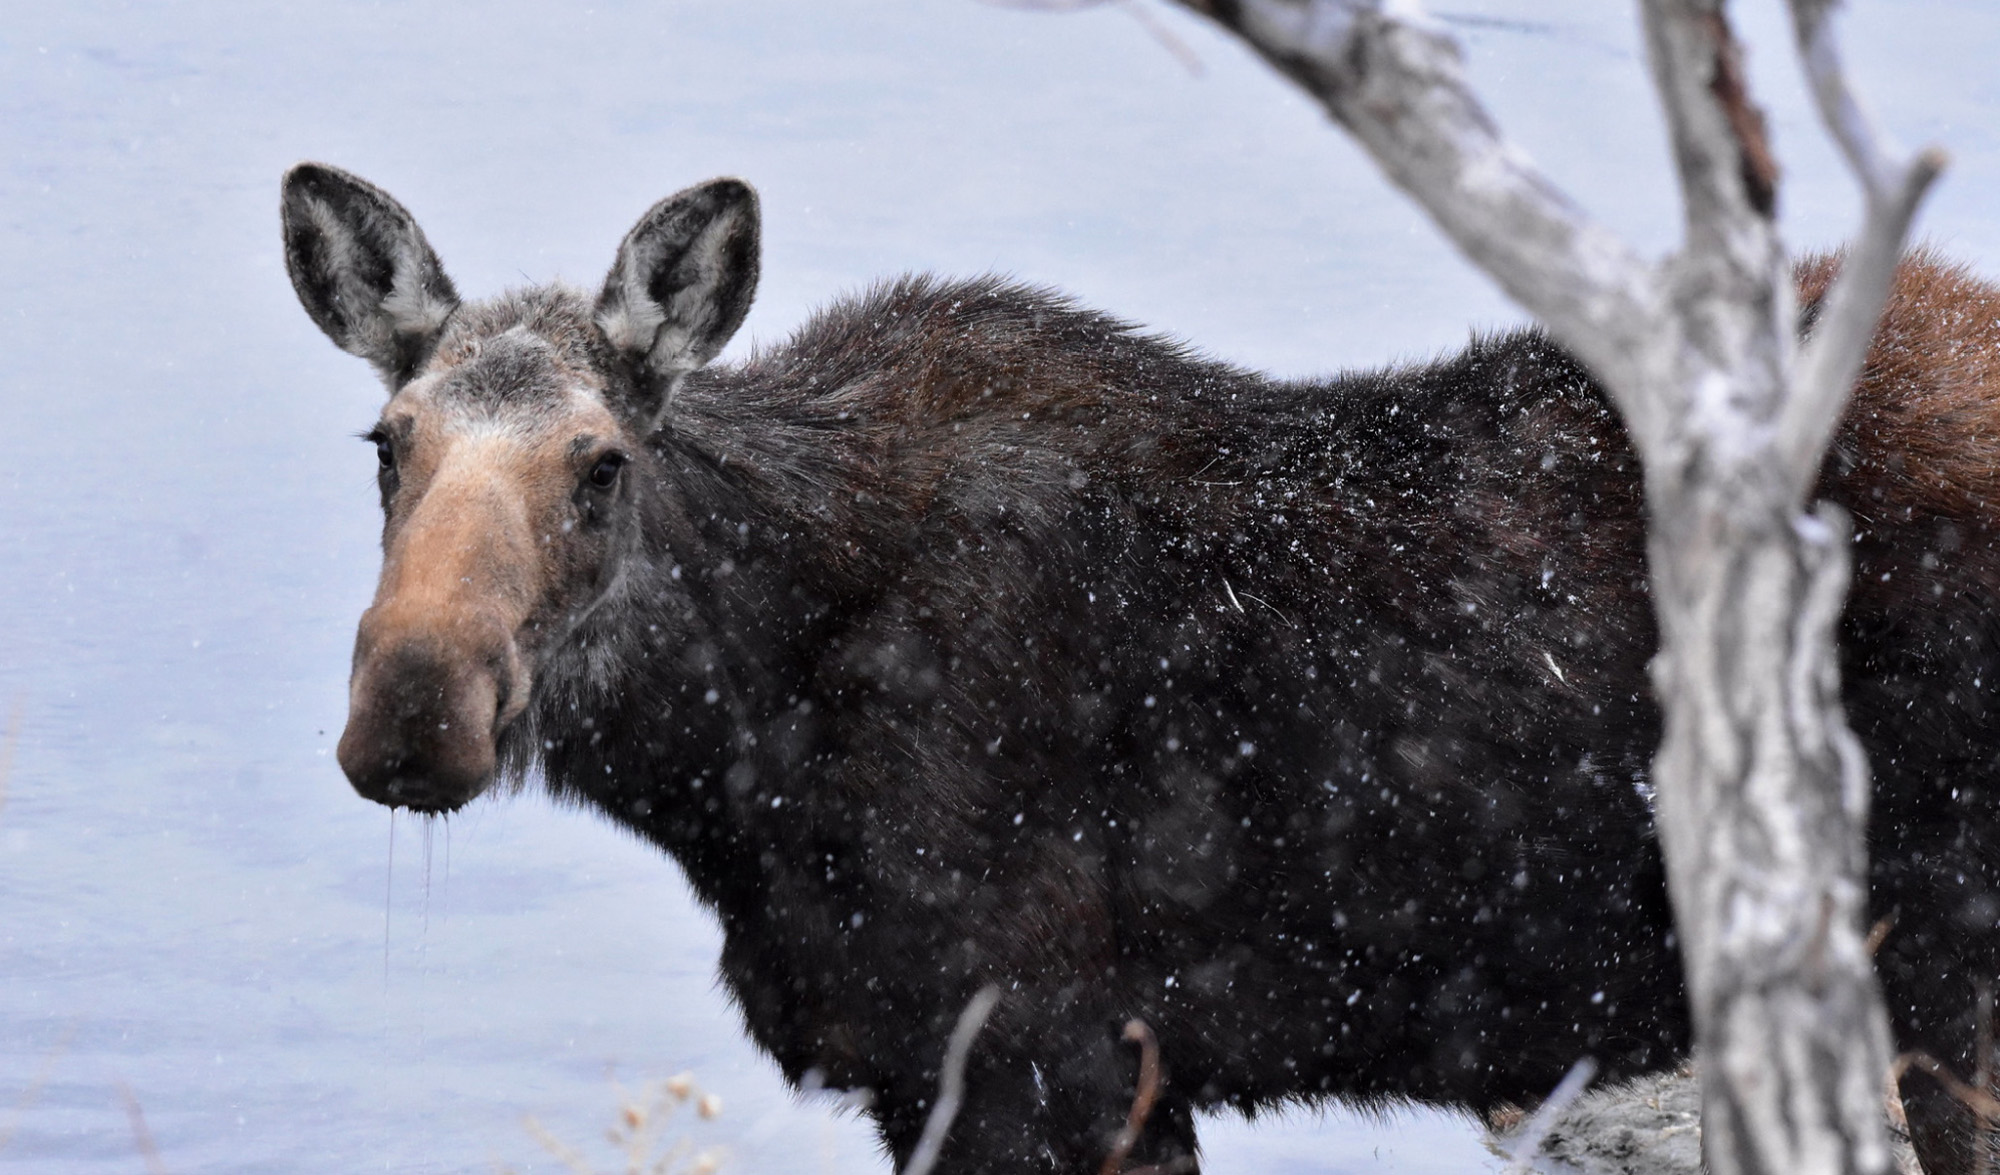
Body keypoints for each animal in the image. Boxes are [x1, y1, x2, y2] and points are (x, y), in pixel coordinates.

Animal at [286, 162, 2000, 1175]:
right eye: (387, 441)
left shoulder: (1037, 1058)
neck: (733, 753)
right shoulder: (1054, 1073)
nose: (412, 709)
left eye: (600, 464)